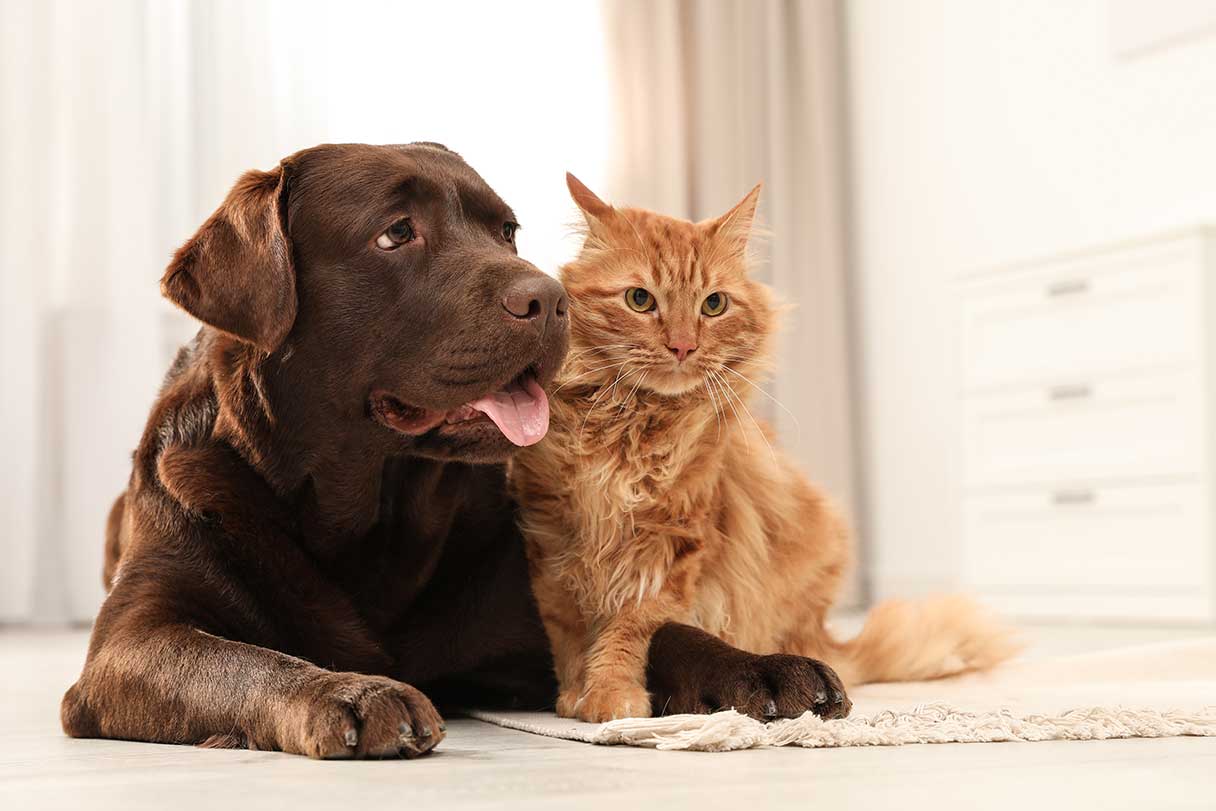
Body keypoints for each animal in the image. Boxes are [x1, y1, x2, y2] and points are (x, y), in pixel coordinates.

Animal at [61, 142, 851, 758]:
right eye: (395, 234)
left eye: (506, 231)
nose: (551, 301)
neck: (367, 511)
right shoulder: (130, 642)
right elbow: (244, 660)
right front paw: (350, 690)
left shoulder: (536, 621)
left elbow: (651, 630)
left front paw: (761, 667)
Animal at [508, 177, 1021, 724]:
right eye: (640, 299)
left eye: (713, 305)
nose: (683, 347)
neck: (633, 427)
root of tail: (821, 633)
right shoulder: (553, 538)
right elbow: (568, 630)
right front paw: (575, 694)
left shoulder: (672, 547)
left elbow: (630, 628)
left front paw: (611, 695)